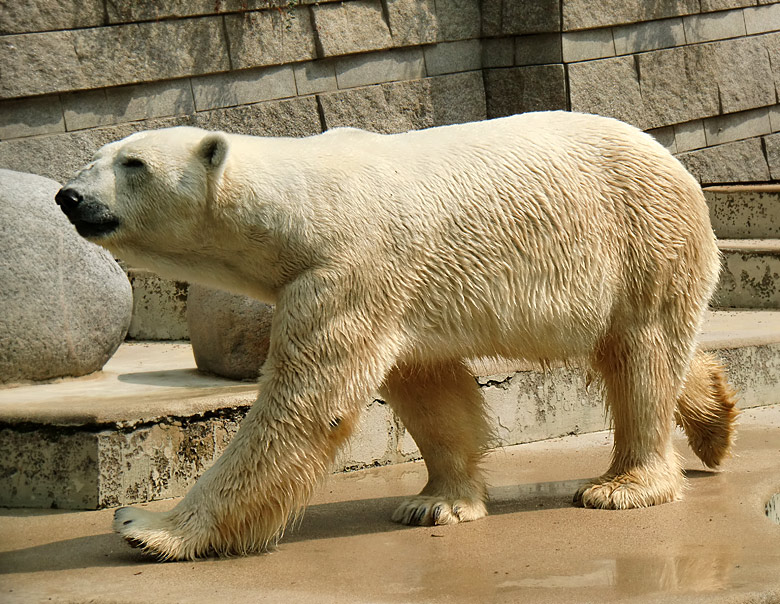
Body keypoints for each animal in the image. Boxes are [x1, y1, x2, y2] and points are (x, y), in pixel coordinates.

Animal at [56, 111, 736, 560]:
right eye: (98, 155)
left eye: (134, 164)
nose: (68, 195)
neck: (303, 205)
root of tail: (673, 160)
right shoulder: (403, 294)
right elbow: (429, 389)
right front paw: (437, 503)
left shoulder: (347, 271)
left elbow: (305, 407)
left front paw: (148, 526)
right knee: (645, 353)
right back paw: (717, 420)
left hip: (639, 239)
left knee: (641, 356)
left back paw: (622, 487)